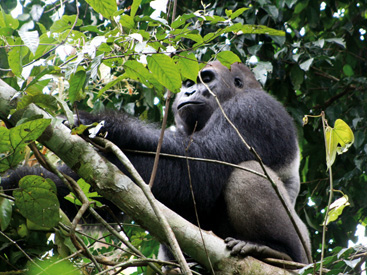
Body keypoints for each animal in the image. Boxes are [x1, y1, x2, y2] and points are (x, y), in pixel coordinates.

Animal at [1, 62, 312, 266]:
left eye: (206, 79)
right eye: (188, 83)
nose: (188, 93)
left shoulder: (253, 110)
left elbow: (201, 165)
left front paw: (108, 124)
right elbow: (97, 197)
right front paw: (12, 183)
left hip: (304, 257)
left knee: (246, 174)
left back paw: (274, 249)